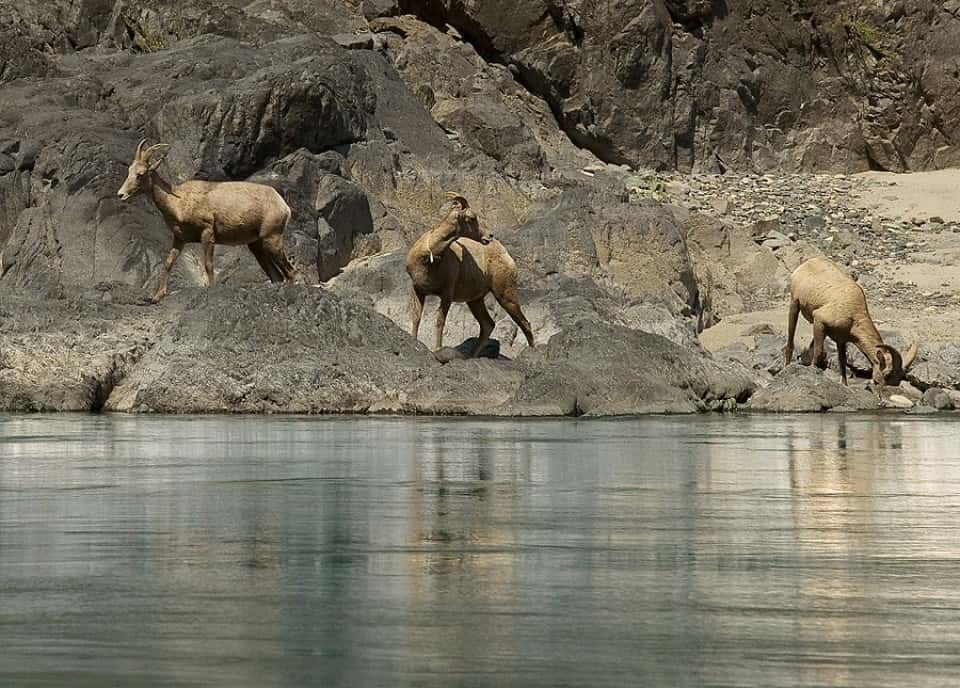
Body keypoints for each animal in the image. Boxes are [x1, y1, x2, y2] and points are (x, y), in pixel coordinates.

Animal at [116, 140, 298, 300]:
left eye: (140, 174)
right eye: (129, 171)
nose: (121, 194)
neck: (178, 202)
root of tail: (283, 206)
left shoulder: (207, 232)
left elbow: (208, 264)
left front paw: (211, 287)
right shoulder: (180, 239)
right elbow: (168, 262)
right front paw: (157, 297)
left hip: (272, 239)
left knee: (291, 272)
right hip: (257, 245)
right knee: (277, 277)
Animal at [404, 192, 532, 354]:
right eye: (471, 218)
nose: (489, 236)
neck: (430, 257)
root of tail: (506, 256)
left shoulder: (447, 295)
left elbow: (440, 321)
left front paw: (437, 349)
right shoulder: (418, 290)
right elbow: (416, 318)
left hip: (505, 295)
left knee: (524, 323)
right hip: (475, 301)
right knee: (488, 325)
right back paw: (470, 356)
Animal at [784, 258, 920, 396]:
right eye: (884, 376)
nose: (880, 397)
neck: (854, 315)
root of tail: (807, 262)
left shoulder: (841, 340)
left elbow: (842, 362)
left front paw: (844, 385)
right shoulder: (819, 320)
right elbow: (818, 352)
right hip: (795, 304)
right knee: (791, 341)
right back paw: (786, 367)